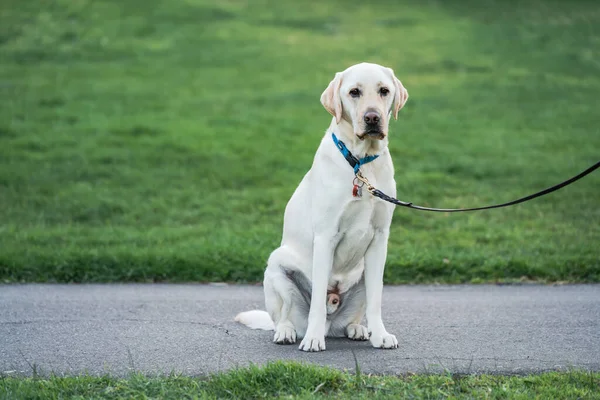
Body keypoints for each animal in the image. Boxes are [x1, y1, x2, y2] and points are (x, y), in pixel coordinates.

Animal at [234, 61, 408, 352]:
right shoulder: (326, 236)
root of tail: (331, 322)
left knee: (355, 314)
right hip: (276, 268)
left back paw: (357, 329)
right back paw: (289, 332)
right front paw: (313, 339)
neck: (360, 162)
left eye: (384, 91)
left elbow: (376, 299)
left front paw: (380, 335)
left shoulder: (379, 238)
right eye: (354, 92)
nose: (372, 118)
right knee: (284, 316)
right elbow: (316, 301)